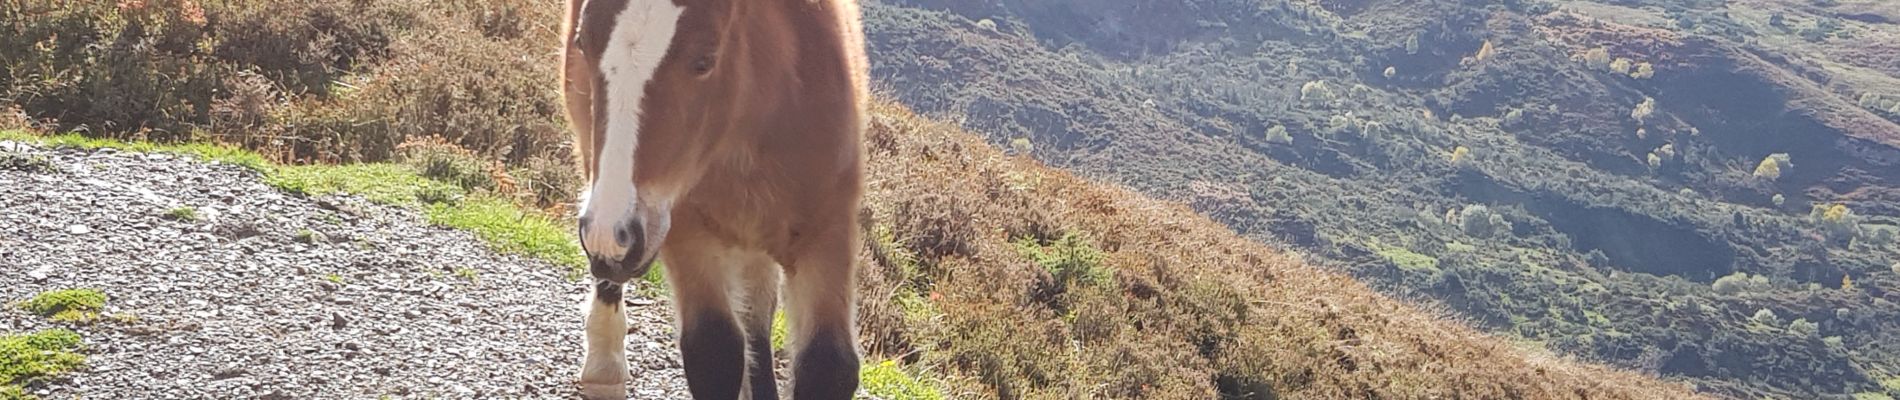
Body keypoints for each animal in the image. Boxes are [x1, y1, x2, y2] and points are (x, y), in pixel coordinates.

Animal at [554, 1, 870, 398]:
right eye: (583, 43)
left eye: (704, 61)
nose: (614, 237)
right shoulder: (683, 226)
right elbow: (714, 349)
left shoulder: (828, 227)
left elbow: (828, 364)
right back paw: (604, 366)